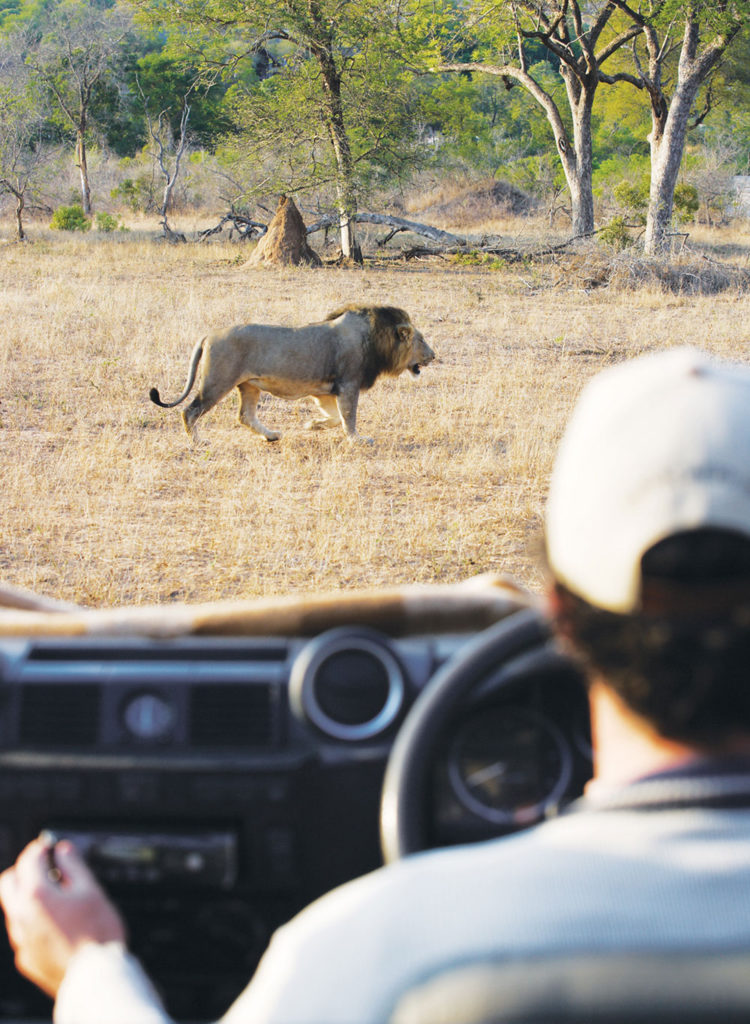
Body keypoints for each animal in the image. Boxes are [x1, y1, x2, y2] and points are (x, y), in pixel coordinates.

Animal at [149, 304, 435, 443]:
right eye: (421, 340)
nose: (433, 355)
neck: (377, 338)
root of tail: (208, 335)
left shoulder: (326, 391)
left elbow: (335, 417)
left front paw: (313, 425)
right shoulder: (348, 384)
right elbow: (349, 417)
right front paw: (357, 440)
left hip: (249, 385)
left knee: (245, 416)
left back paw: (271, 436)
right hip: (217, 382)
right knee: (190, 411)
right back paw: (199, 442)